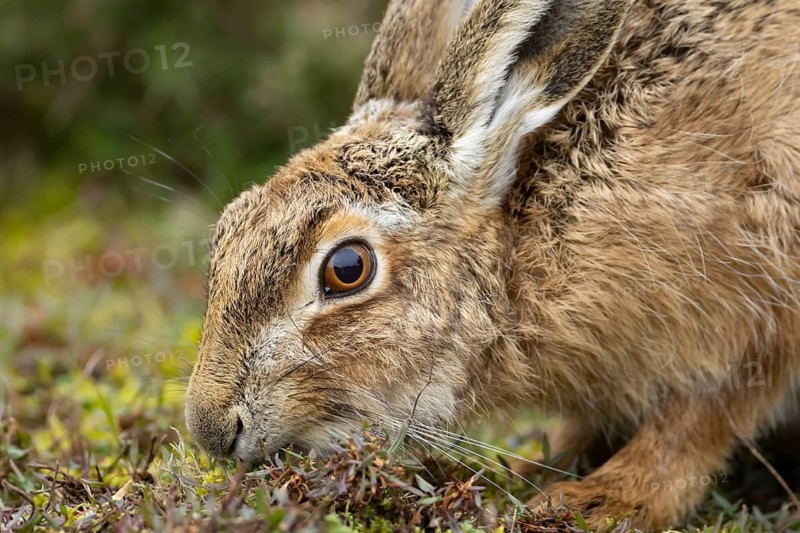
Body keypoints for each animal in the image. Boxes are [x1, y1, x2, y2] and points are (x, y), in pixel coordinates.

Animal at [185, 0, 800, 529]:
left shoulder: (757, 315)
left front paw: (601, 500)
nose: (210, 429)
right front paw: (532, 471)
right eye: (228, 229)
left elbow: (698, 420)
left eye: (348, 268)